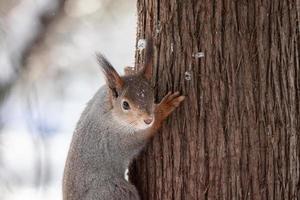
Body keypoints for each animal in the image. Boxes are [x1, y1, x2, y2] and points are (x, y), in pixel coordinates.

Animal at [62, 38, 185, 199]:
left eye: (152, 95)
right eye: (125, 105)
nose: (148, 119)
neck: (110, 112)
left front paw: (129, 69)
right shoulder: (120, 138)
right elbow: (145, 133)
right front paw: (165, 106)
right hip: (115, 192)